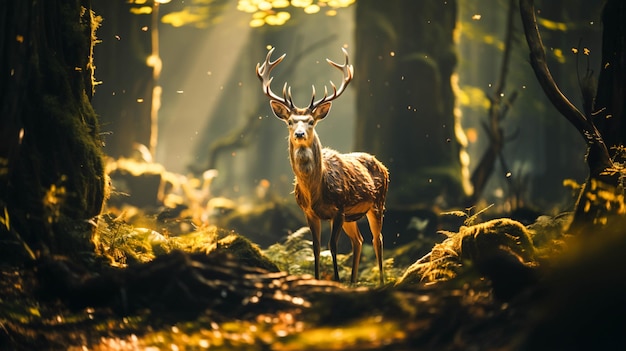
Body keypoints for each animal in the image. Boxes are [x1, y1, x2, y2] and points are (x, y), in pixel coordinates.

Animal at [256, 47, 388, 286]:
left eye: (310, 121)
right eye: (290, 122)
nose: (299, 134)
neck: (315, 191)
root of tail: (381, 165)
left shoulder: (339, 208)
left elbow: (332, 246)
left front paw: (335, 280)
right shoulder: (309, 212)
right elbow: (316, 248)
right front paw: (318, 279)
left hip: (377, 203)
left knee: (377, 239)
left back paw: (381, 282)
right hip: (352, 217)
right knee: (358, 240)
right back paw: (352, 281)